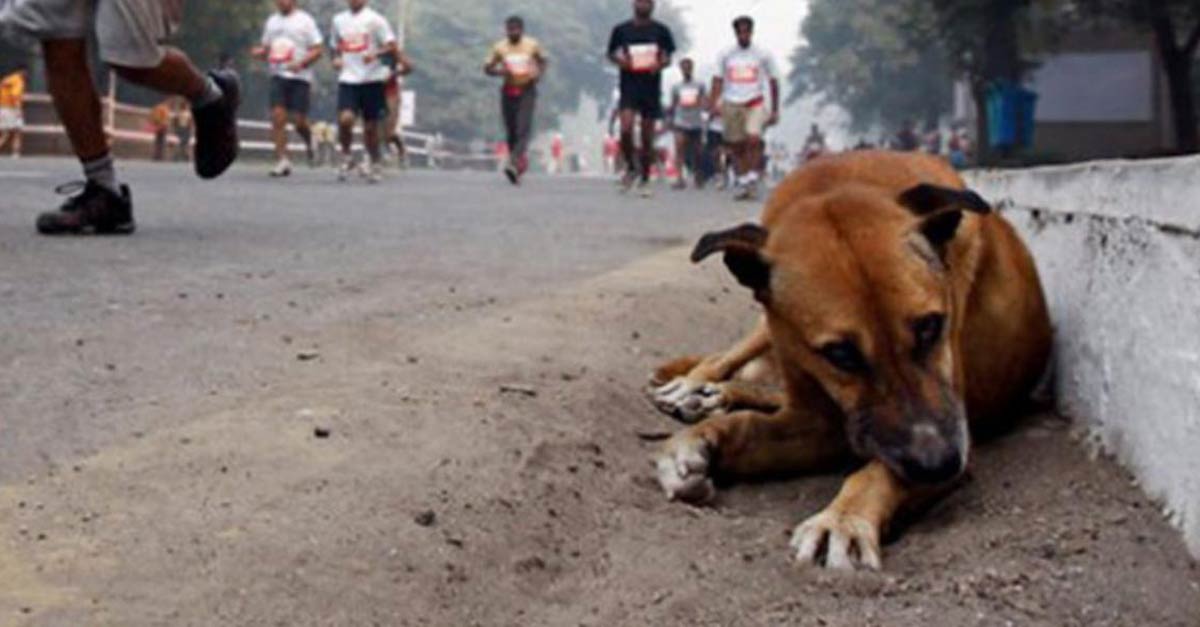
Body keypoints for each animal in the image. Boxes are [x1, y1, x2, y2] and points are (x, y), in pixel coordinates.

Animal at [648, 150, 1051, 566]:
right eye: (839, 353)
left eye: (931, 327)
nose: (938, 465)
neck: (836, 183)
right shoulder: (818, 419)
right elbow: (745, 426)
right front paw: (696, 441)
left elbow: (877, 472)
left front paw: (843, 519)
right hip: (766, 328)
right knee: (724, 359)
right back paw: (694, 387)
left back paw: (713, 395)